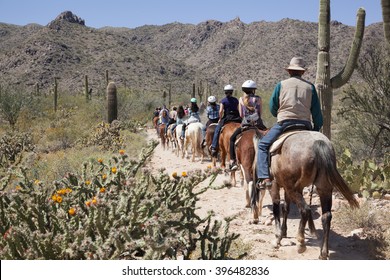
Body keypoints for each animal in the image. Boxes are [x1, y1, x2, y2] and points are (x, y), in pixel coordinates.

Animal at [253, 131, 360, 260]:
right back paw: (323, 253)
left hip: (294, 189)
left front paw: (278, 237)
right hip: (323, 188)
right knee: (326, 216)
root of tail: (318, 143)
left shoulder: (274, 185)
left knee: (305, 209)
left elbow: (276, 208)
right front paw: (283, 232)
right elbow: (285, 209)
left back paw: (301, 243)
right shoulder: (288, 189)